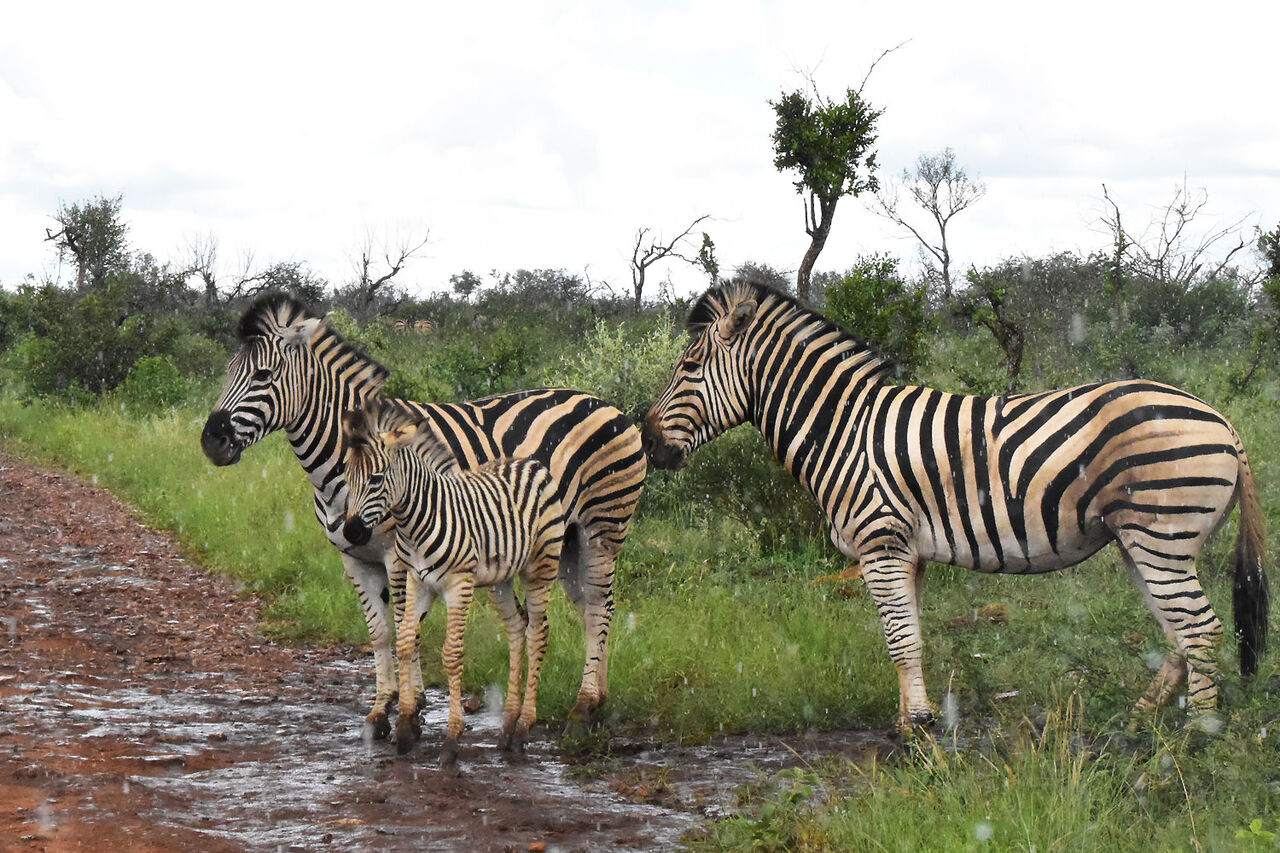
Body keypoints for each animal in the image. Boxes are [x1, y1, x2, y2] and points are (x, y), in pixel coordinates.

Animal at [341, 403, 565, 764]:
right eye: (347, 476)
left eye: (376, 478)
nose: (351, 532)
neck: (414, 523)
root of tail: (530, 462)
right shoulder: (418, 581)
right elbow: (406, 642)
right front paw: (405, 728)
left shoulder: (458, 583)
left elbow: (451, 653)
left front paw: (451, 738)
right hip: (500, 579)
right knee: (517, 629)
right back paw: (507, 728)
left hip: (541, 565)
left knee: (538, 633)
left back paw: (522, 729)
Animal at [642, 278, 1268, 732]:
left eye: (689, 369)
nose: (646, 443)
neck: (841, 428)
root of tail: (1222, 419)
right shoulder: (905, 552)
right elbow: (907, 638)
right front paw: (909, 721)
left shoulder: (881, 542)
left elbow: (900, 637)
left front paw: (919, 729)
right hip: (1143, 542)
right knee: (1180, 632)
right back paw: (1141, 721)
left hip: (1163, 536)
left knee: (1202, 630)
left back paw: (1199, 736)